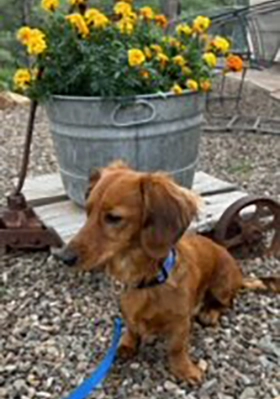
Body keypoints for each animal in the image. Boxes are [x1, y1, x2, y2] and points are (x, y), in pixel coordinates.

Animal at [55, 161, 280, 386]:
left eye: (114, 218)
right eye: (88, 212)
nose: (64, 257)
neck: (148, 281)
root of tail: (239, 275)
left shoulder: (181, 322)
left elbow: (176, 347)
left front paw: (184, 369)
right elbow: (131, 327)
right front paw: (127, 343)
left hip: (222, 285)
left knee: (227, 302)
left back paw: (210, 312)